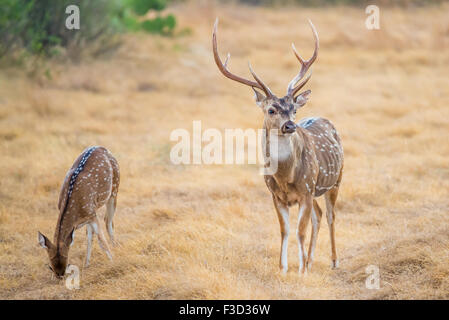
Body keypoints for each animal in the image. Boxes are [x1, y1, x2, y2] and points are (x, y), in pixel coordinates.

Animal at [37, 146, 119, 276]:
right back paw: (87, 263)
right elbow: (89, 236)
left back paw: (116, 247)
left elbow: (101, 241)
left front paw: (113, 261)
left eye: (66, 258)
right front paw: (87, 265)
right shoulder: (90, 215)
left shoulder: (92, 214)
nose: (60, 275)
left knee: (108, 221)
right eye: (51, 265)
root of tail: (102, 148)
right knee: (92, 233)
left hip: (114, 189)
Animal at [213, 20, 344, 274]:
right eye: (271, 109)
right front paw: (283, 268)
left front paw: (301, 272)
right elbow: (284, 231)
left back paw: (333, 261)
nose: (290, 125)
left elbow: (300, 232)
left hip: (335, 179)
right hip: (316, 188)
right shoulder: (275, 195)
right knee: (319, 214)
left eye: (294, 109)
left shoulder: (305, 190)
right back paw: (311, 260)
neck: (285, 177)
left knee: (331, 215)